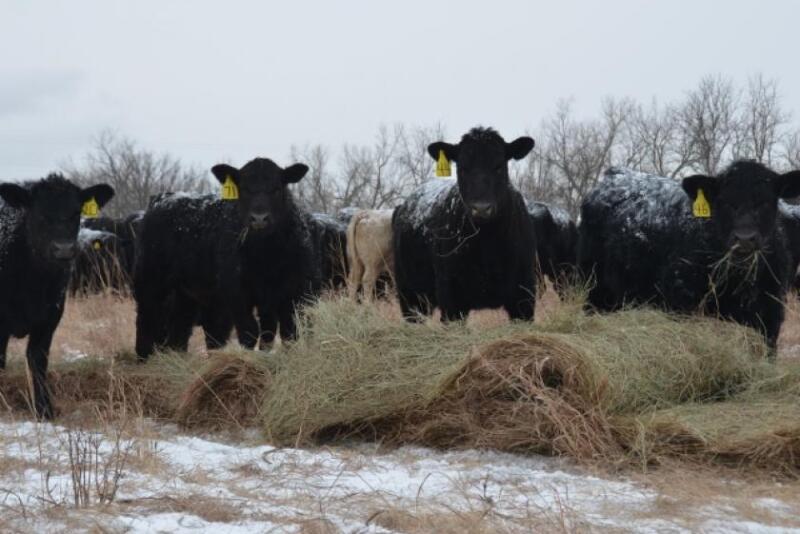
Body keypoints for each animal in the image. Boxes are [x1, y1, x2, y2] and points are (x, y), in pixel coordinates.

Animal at [0, 174, 114, 418]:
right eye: (40, 212)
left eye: (76, 212)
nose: (63, 249)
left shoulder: (49, 319)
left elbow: (38, 362)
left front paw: (45, 410)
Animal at [134, 158, 321, 360]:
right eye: (243, 189)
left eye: (277, 188)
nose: (259, 218)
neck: (266, 257)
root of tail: (164, 198)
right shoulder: (236, 293)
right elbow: (249, 332)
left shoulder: (293, 294)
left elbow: (288, 333)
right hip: (151, 281)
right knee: (147, 319)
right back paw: (145, 357)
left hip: (187, 292)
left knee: (180, 327)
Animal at [392, 127, 537, 322]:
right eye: (462, 167)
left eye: (499, 166)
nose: (481, 208)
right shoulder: (451, 298)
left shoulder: (524, 296)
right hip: (410, 296)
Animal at [578, 163, 800, 355]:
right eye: (724, 202)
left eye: (766, 202)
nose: (744, 238)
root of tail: (615, 173)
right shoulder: (681, 301)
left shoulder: (770, 314)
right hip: (594, 288)